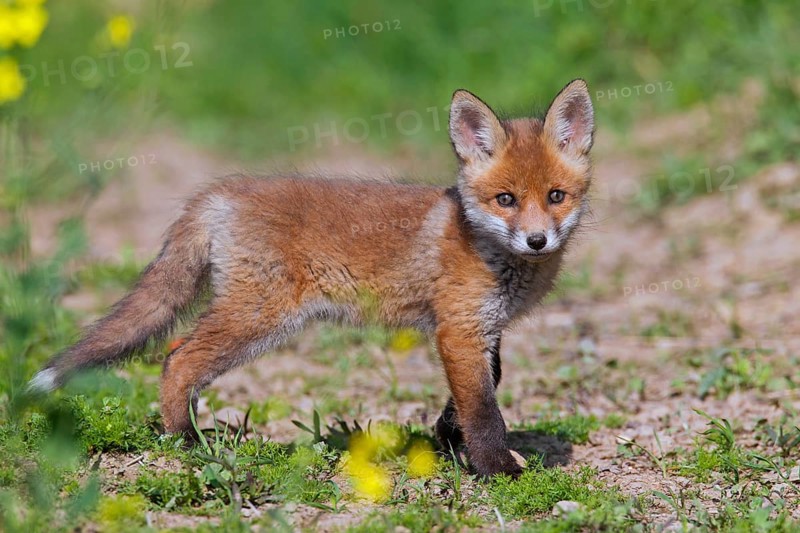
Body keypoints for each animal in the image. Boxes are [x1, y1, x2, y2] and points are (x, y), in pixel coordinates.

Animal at [28, 79, 595, 477]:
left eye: (555, 196)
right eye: (506, 200)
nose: (538, 241)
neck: (490, 251)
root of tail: (218, 193)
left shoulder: (483, 330)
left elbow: (482, 388)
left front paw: (447, 438)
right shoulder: (458, 329)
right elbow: (483, 409)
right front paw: (495, 468)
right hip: (259, 318)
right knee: (176, 360)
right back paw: (186, 441)